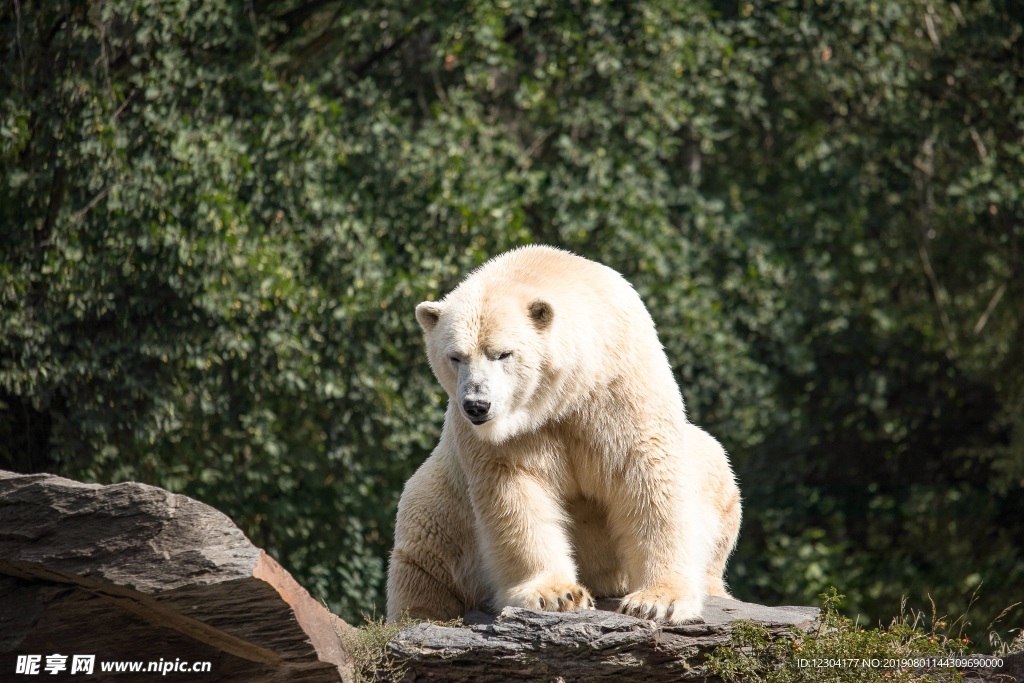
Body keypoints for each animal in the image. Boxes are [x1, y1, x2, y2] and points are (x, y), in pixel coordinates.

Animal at [387, 246, 741, 626]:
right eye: (455, 357)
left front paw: (658, 601)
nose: (477, 405)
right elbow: (516, 492)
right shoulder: (508, 434)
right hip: (441, 502)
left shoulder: (619, 389)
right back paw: (423, 614)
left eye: (503, 353)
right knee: (423, 556)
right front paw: (557, 595)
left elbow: (648, 474)